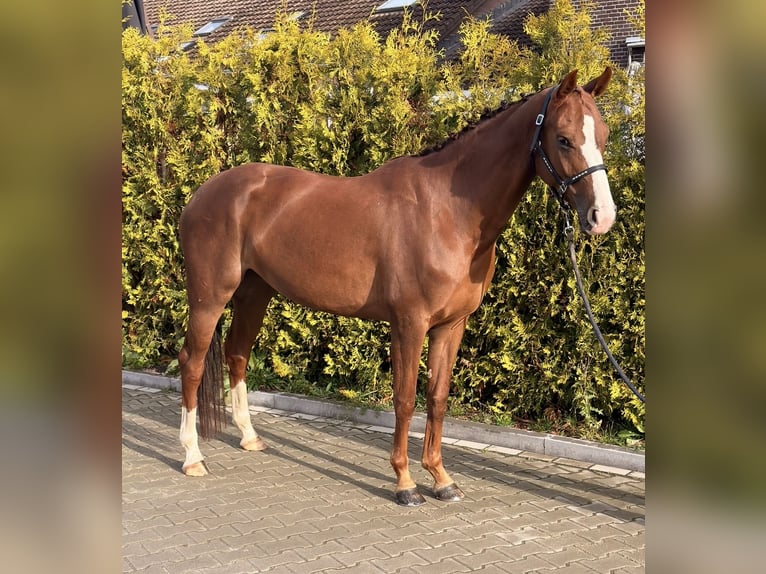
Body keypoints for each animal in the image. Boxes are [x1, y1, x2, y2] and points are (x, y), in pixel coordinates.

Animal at [177, 68, 616, 506]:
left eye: (604, 134)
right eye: (563, 138)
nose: (603, 216)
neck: (447, 212)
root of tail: (203, 192)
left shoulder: (450, 326)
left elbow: (437, 398)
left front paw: (441, 478)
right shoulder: (409, 323)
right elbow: (404, 399)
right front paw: (405, 482)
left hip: (255, 292)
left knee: (236, 354)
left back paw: (249, 437)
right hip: (210, 296)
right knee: (192, 363)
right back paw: (192, 457)